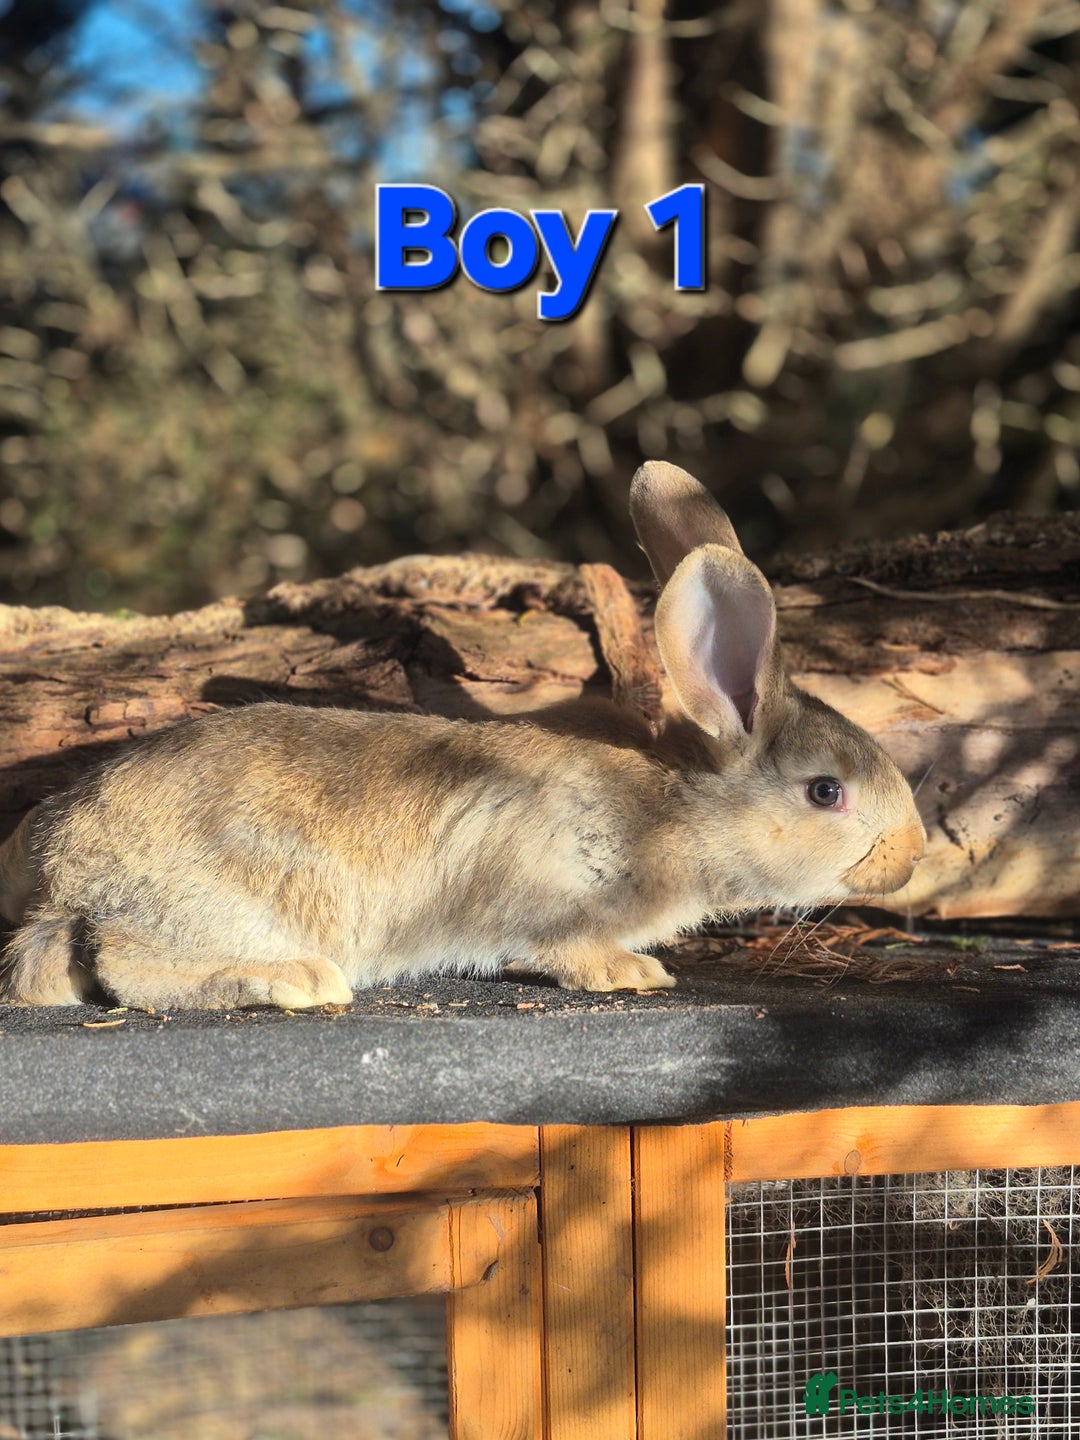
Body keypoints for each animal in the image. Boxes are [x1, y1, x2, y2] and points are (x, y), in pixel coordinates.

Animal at [0, 461, 925, 1010]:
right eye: (826, 792)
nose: (912, 857)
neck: (676, 810)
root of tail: (63, 860)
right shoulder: (550, 896)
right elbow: (566, 949)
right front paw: (633, 973)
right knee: (121, 963)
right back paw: (295, 980)